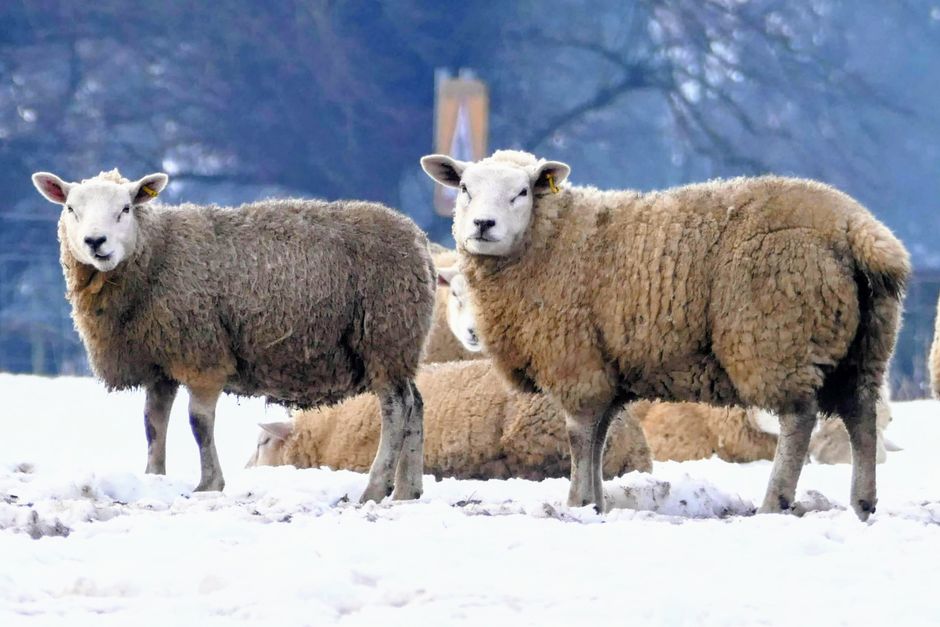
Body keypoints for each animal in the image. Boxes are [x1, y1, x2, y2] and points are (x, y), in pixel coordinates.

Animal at [31, 168, 436, 501]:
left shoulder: (202, 352)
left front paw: (209, 483)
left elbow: (198, 422)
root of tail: (419, 241)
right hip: (399, 345)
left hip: (385, 335)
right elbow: (152, 423)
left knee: (396, 410)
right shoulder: (160, 359)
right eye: (70, 208)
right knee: (415, 405)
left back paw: (375, 488)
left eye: (126, 208)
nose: (95, 242)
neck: (158, 253)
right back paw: (407, 490)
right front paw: (153, 477)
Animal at [421, 149, 909, 520]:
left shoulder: (576, 360)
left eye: (521, 192)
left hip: (776, 335)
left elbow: (580, 437)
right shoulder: (606, 366)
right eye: (464, 189)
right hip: (867, 343)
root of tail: (857, 227)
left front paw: (578, 502)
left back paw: (776, 502)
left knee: (798, 421)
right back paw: (863, 504)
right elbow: (600, 437)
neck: (551, 240)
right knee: (862, 416)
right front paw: (596, 502)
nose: (483, 225)